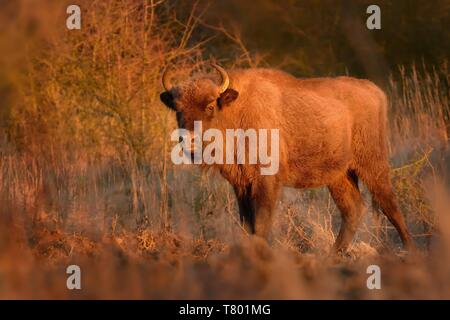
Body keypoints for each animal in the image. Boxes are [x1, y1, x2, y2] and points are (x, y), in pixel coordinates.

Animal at [161, 63, 414, 254]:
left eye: (210, 105)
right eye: (178, 109)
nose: (189, 140)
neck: (236, 111)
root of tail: (374, 90)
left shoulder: (266, 182)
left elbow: (261, 222)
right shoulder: (241, 184)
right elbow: (247, 222)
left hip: (372, 164)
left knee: (389, 204)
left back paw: (409, 250)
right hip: (339, 176)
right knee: (353, 209)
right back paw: (331, 256)